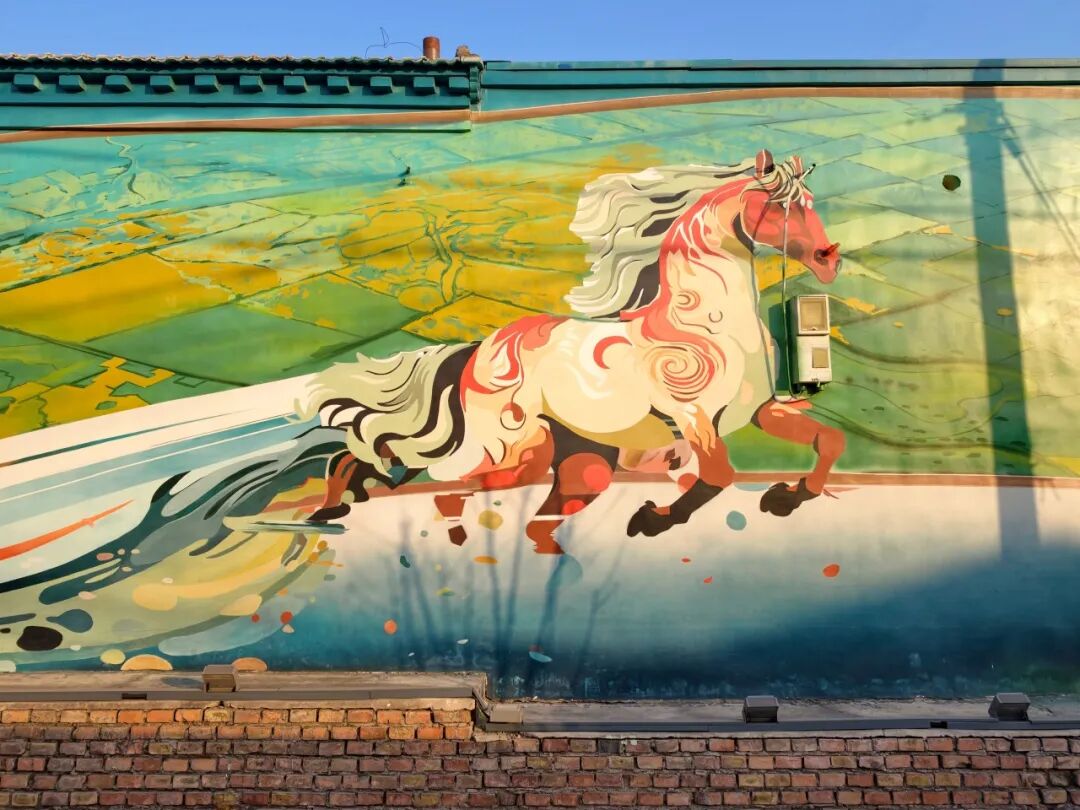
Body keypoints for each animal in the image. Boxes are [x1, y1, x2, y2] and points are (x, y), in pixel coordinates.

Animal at [302, 149, 844, 553]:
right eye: (786, 207)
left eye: (810, 201)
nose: (828, 260)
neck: (709, 326)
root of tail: (483, 348)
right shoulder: (693, 416)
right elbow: (718, 474)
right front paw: (652, 519)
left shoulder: (760, 411)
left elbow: (828, 440)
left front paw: (786, 497)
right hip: (506, 444)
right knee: (428, 472)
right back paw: (342, 500)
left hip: (556, 456)